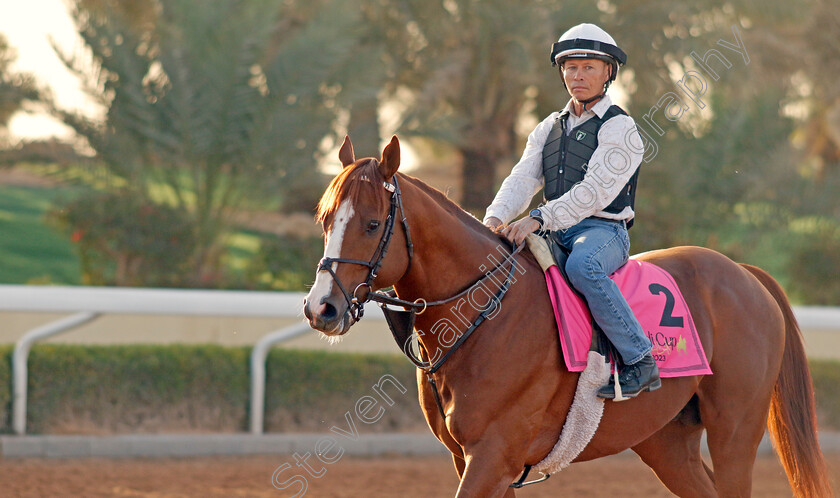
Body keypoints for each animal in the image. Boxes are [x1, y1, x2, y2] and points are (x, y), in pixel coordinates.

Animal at [304, 135, 832, 498]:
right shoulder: (472, 461)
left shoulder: (491, 457)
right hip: (668, 443)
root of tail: (743, 273)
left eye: (373, 223)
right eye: (327, 219)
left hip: (735, 431)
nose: (321, 308)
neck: (484, 315)